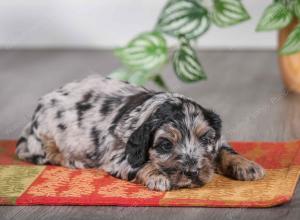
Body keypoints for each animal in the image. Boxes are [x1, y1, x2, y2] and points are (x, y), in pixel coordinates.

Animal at [16, 75, 264, 191]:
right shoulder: (117, 155)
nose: (193, 172)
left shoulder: (218, 140)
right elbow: (143, 164)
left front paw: (247, 166)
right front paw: (158, 177)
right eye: (165, 145)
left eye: (205, 139)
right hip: (44, 141)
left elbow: (225, 150)